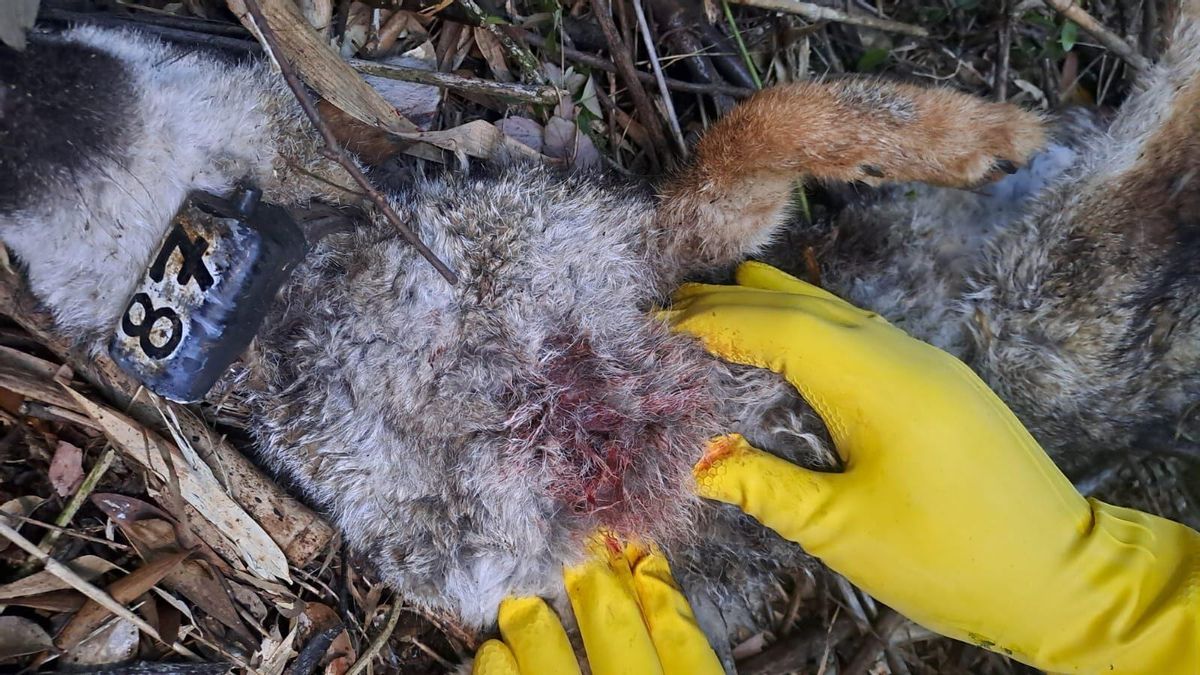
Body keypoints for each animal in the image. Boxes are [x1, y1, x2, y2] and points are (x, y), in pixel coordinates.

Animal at [1, 5, 1197, 669]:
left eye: (62, 30)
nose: (26, 68)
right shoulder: (530, 563)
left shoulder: (665, 247)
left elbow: (779, 116)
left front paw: (975, 132)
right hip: (1073, 292)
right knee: (1142, 186)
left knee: (1150, 151)